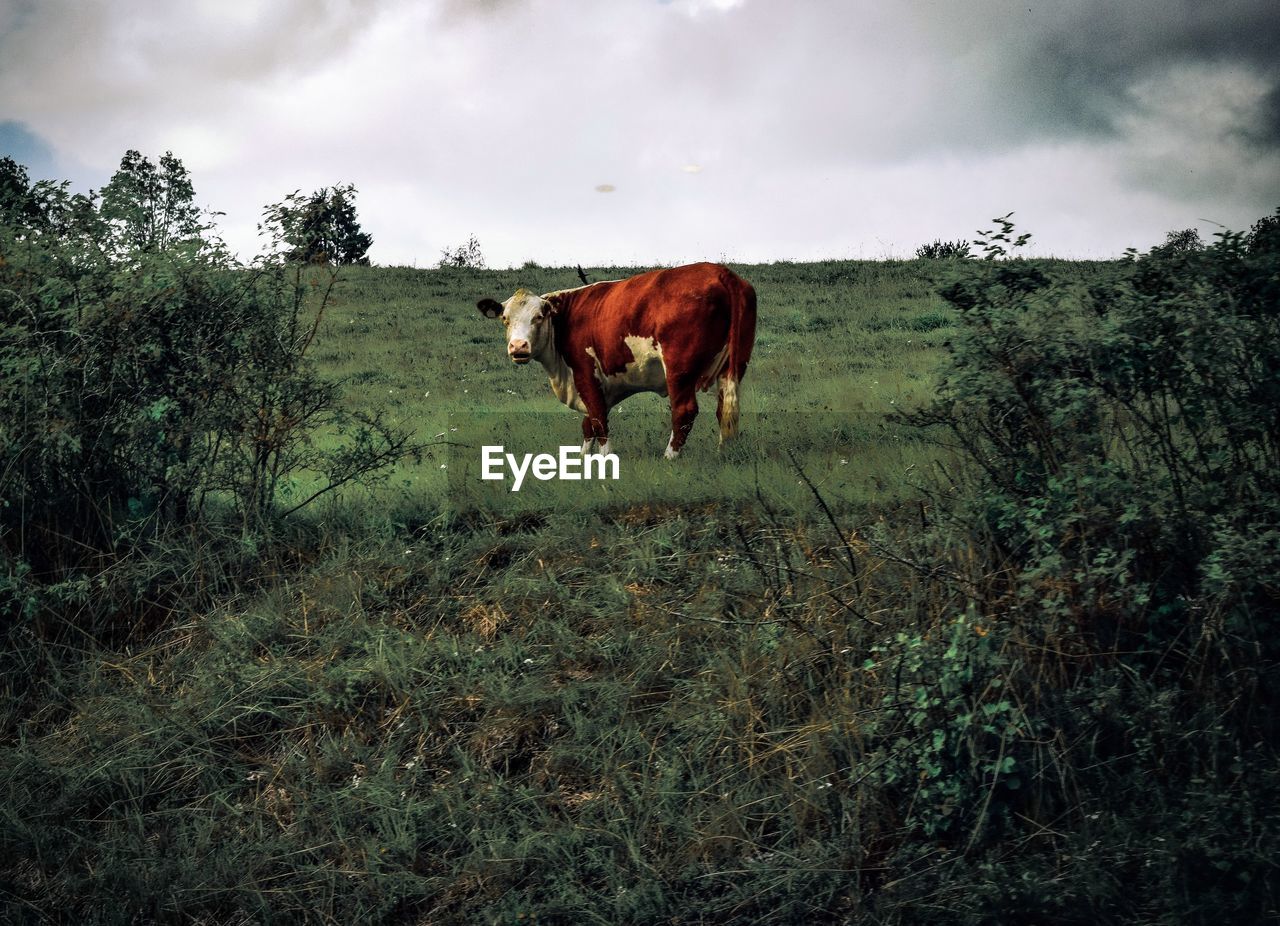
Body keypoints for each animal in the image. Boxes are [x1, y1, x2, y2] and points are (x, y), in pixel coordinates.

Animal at [481, 262, 757, 458]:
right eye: (505, 319)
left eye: (539, 316)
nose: (518, 346)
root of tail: (721, 271)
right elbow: (589, 423)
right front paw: (582, 459)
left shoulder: (585, 372)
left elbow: (598, 420)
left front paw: (605, 459)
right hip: (734, 365)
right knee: (726, 410)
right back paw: (724, 453)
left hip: (679, 369)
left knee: (684, 411)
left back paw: (669, 457)